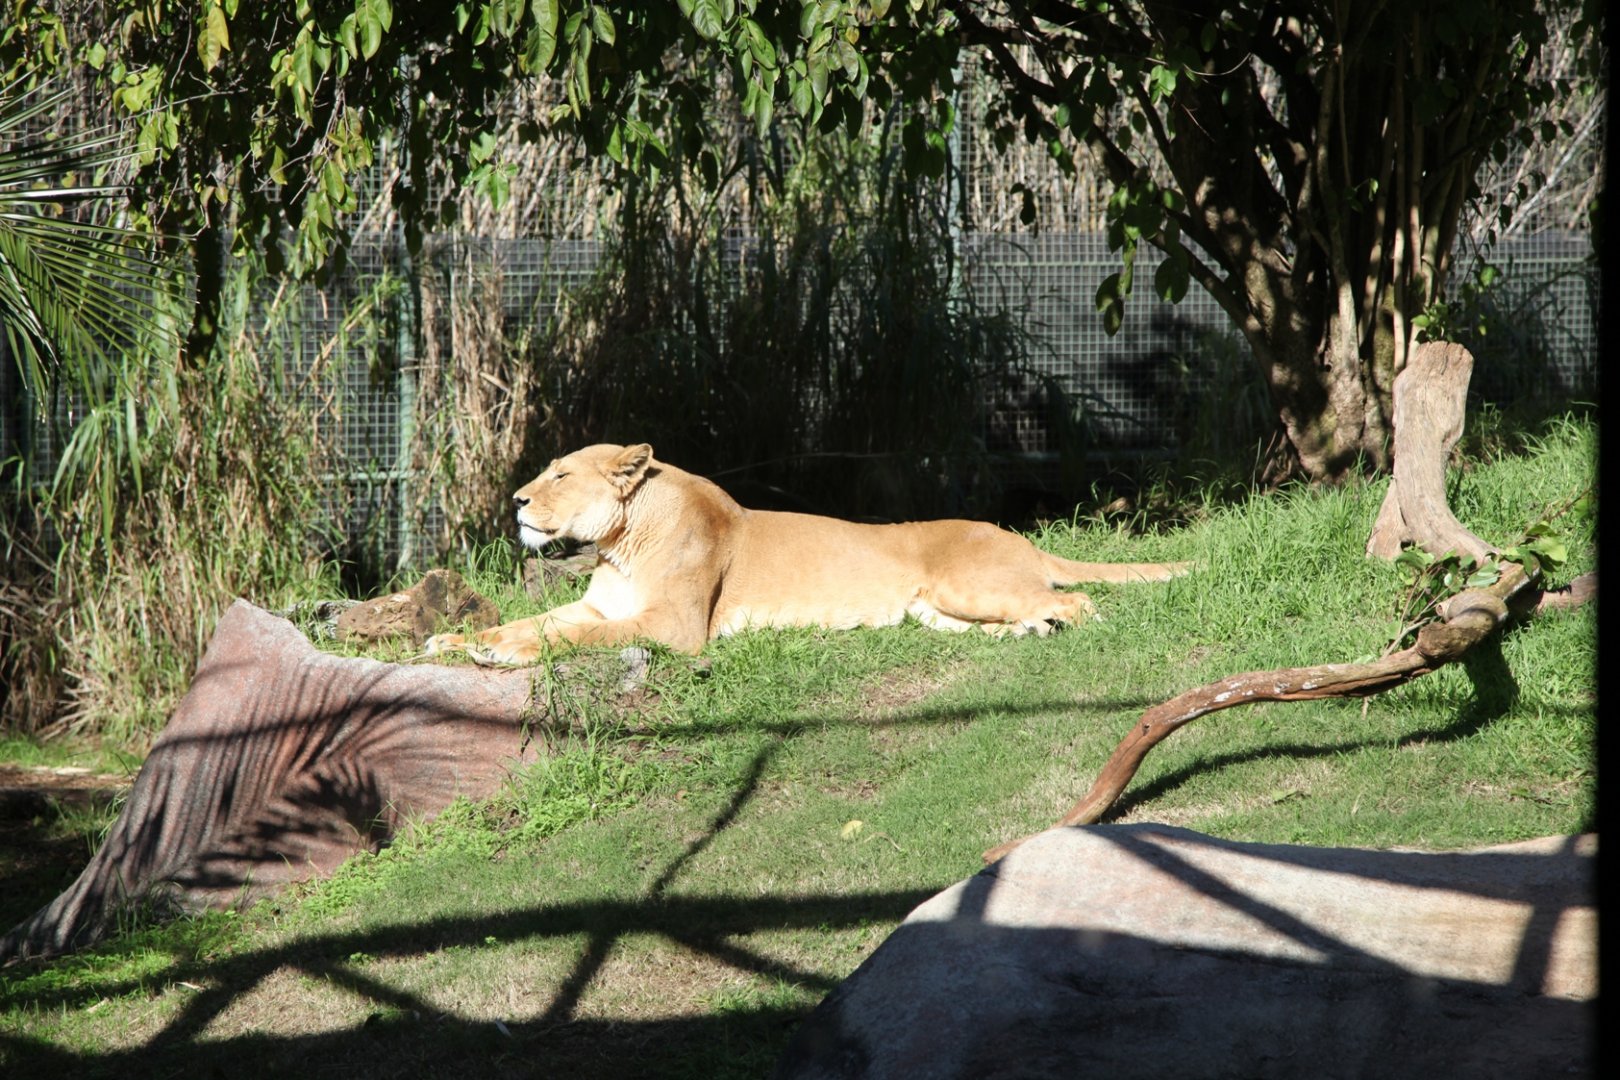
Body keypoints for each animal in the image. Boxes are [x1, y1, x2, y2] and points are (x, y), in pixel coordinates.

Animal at [425, 443, 1192, 664]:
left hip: (970, 585)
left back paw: (1073, 622)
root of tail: (1018, 533)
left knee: (1080, 595)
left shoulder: (676, 628)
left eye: (560, 475)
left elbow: (573, 638)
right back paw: (1036, 629)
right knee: (1028, 611)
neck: (619, 546)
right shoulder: (595, 605)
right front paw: (454, 640)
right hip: (936, 612)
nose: (516, 501)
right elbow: (538, 622)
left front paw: (501, 652)